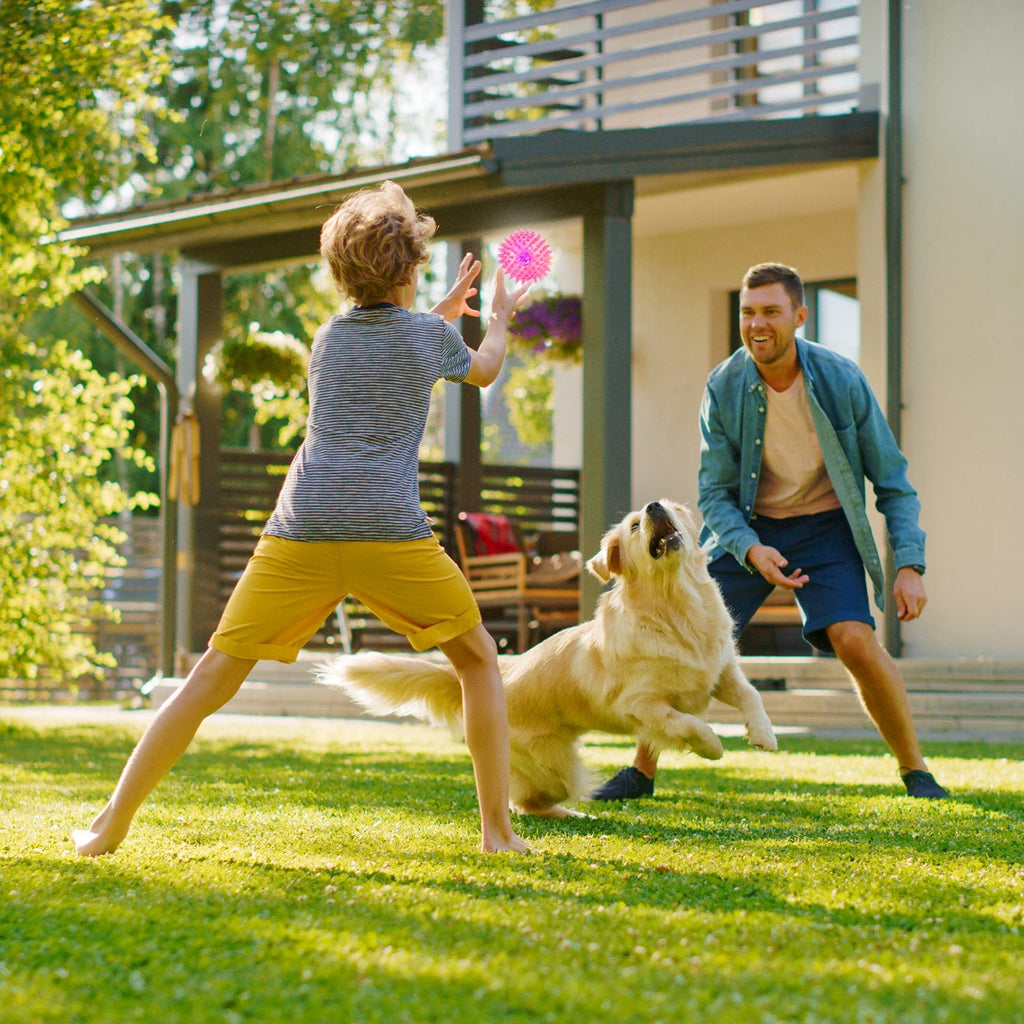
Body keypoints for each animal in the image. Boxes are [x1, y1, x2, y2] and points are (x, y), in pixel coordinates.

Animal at [319, 501, 774, 815]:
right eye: (633, 525)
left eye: (669, 507)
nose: (653, 507)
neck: (676, 607)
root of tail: (503, 668)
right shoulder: (638, 705)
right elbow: (685, 722)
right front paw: (712, 746)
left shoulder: (720, 671)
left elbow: (751, 695)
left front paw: (764, 735)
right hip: (557, 769)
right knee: (526, 802)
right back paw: (571, 813)